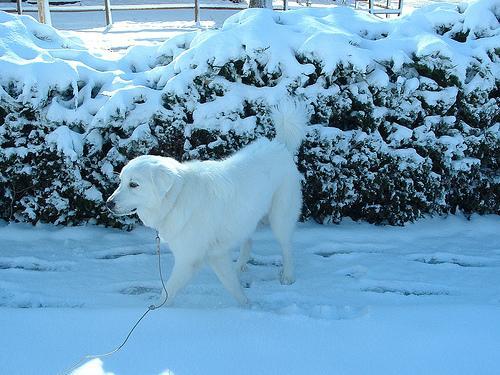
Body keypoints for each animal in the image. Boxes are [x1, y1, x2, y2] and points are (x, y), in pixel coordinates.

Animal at [107, 101, 306, 306]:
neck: (177, 198)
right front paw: (247, 305)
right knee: (248, 242)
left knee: (286, 247)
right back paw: (240, 267)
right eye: (121, 181)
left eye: (134, 184)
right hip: (245, 216)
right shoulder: (216, 254)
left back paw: (288, 276)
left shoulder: (188, 259)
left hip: (280, 218)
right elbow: (232, 285)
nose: (108, 204)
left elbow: (168, 292)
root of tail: (279, 145)